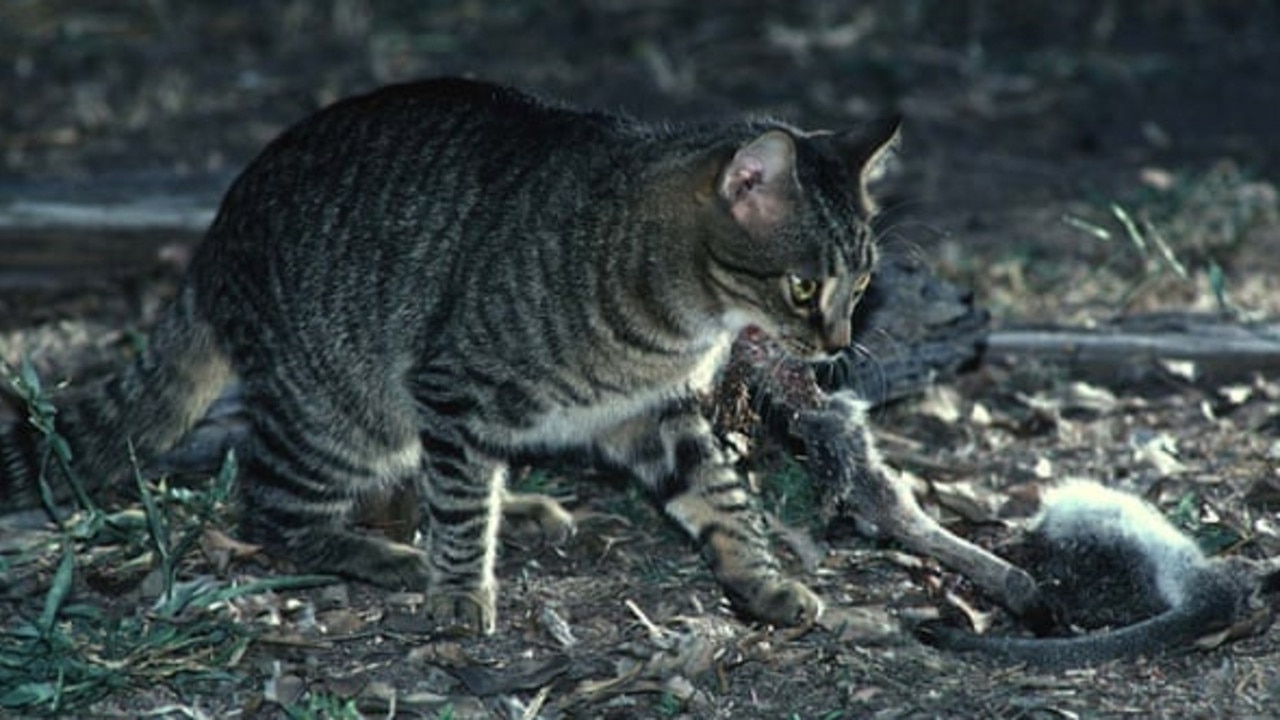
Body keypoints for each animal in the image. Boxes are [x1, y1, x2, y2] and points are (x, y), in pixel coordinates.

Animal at [2, 75, 901, 630]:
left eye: (860, 285)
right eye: (802, 287)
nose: (836, 345)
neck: (682, 318)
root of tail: (214, 239)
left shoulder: (655, 411)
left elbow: (720, 493)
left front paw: (759, 576)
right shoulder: (453, 385)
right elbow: (462, 507)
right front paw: (462, 591)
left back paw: (510, 508)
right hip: (340, 414)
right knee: (272, 510)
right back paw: (386, 553)